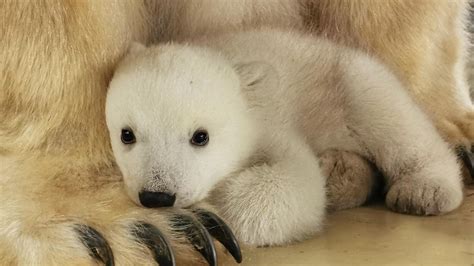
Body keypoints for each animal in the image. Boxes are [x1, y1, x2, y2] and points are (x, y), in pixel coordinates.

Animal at [0, 0, 472, 266]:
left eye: (200, 136)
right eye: (127, 134)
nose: (158, 196)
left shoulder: (271, 119)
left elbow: (295, 182)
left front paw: (210, 212)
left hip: (344, 80)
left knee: (388, 112)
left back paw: (425, 186)